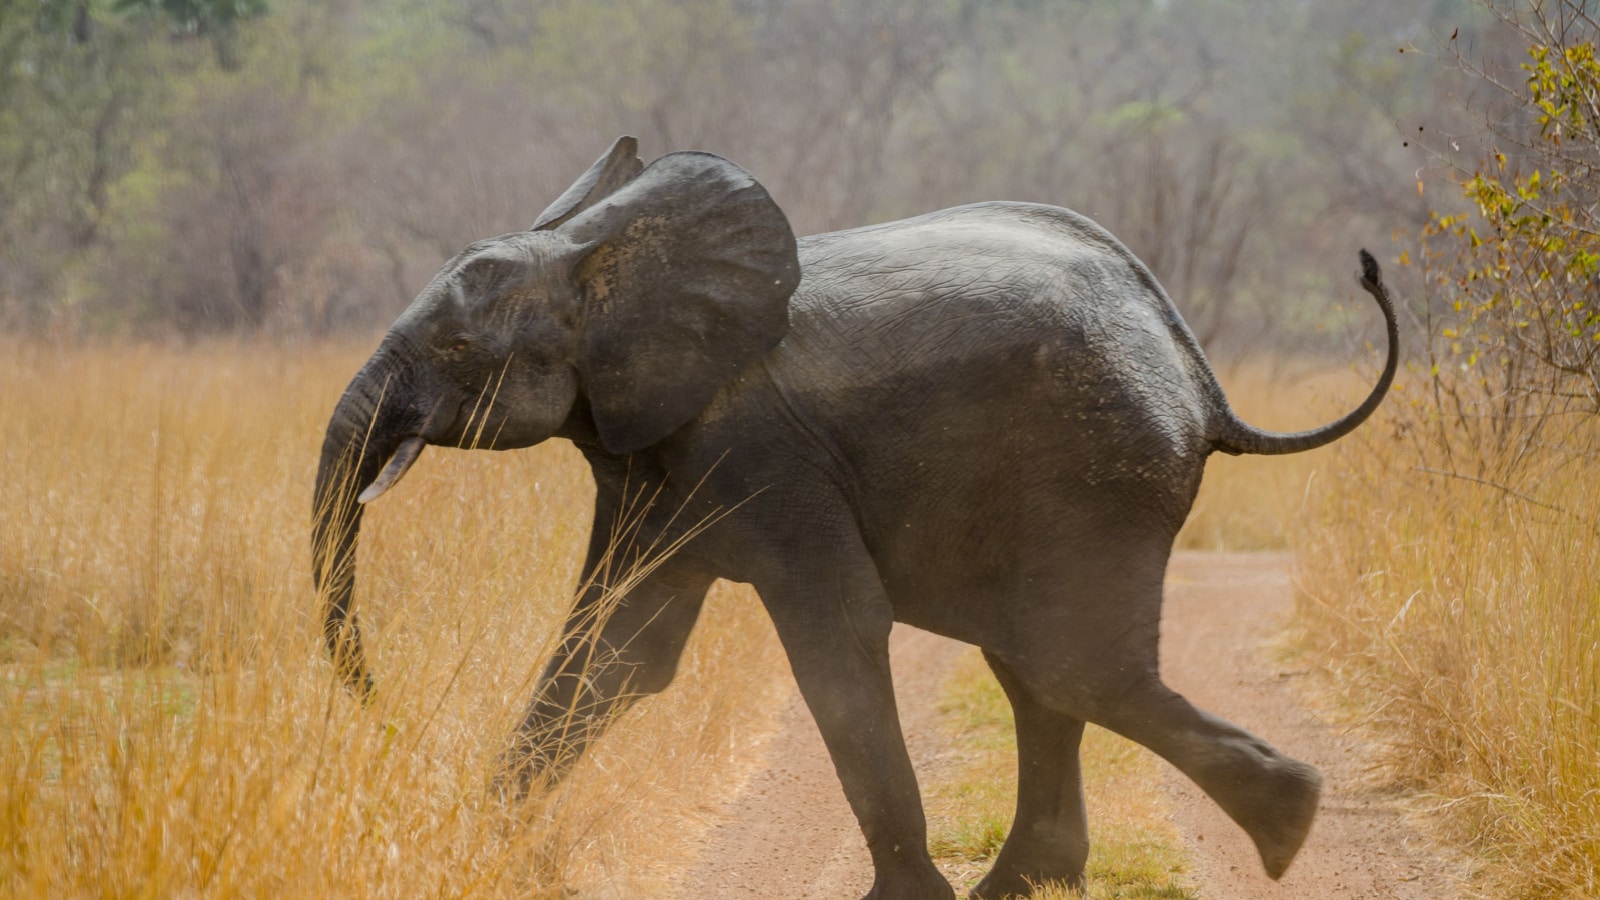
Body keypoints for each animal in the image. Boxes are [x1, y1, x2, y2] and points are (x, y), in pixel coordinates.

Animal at [308, 136, 1388, 890]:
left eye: (455, 347)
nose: (386, 711)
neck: (598, 259)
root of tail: (1198, 375)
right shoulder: (650, 450)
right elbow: (614, 649)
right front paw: (470, 853)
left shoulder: (759, 448)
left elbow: (832, 636)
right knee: (1040, 670)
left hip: (1099, 472)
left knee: (1069, 665)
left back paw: (1289, 824)